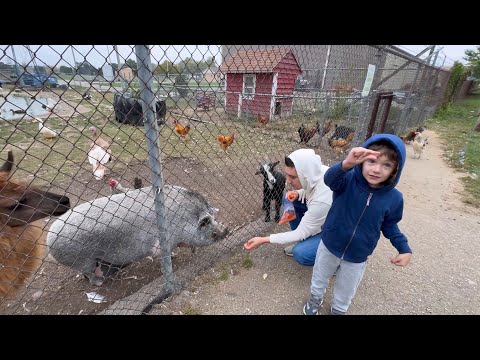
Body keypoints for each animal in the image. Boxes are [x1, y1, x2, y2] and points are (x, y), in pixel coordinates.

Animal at [47, 187, 229, 286]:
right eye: (209, 226)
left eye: (215, 218)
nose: (227, 229)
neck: (185, 220)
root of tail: (49, 238)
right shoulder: (163, 242)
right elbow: (163, 256)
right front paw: (171, 260)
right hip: (81, 259)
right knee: (89, 273)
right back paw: (100, 282)